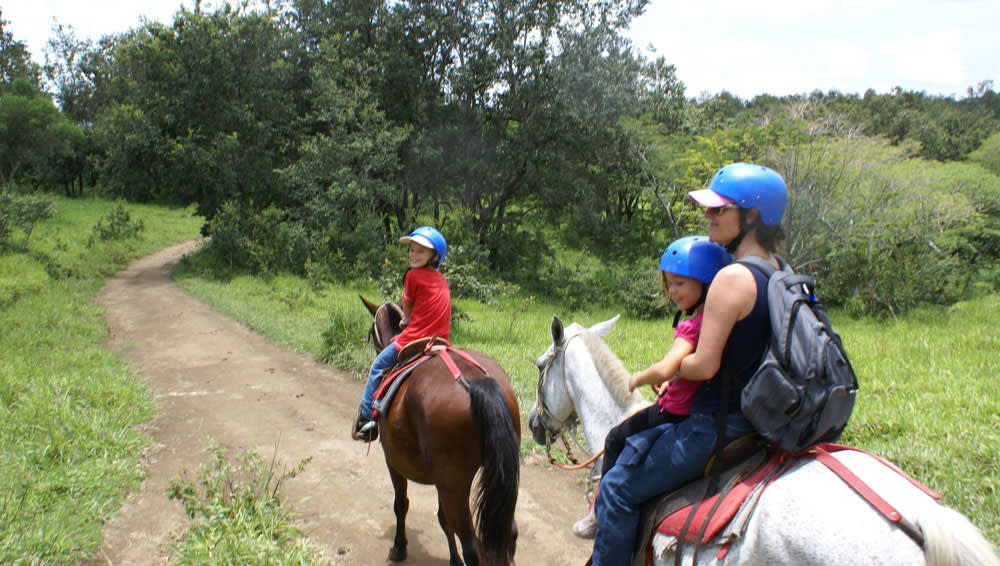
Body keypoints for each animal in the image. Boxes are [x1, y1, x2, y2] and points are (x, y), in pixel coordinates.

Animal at [360, 298, 520, 566]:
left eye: (372, 331)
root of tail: (474, 381)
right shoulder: (439, 478)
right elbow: (442, 519)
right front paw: (453, 560)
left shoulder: (393, 460)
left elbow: (401, 504)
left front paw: (399, 547)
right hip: (491, 481)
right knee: (509, 532)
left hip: (453, 485)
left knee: (472, 546)